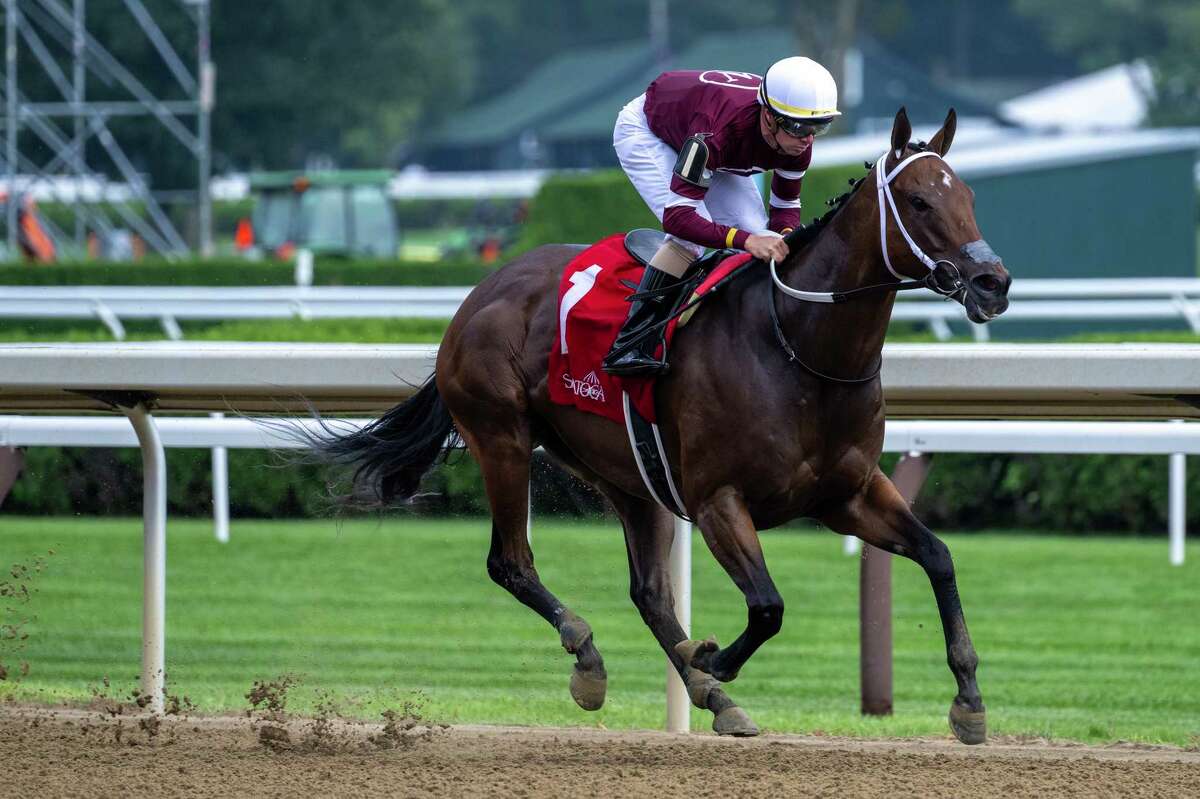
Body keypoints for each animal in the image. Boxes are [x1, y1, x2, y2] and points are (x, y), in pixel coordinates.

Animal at [314, 109, 1008, 739]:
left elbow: (939, 556)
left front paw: (969, 701)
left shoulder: (849, 494)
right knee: (510, 562)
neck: (799, 349)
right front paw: (712, 658)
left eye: (970, 197)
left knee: (648, 592)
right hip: (500, 437)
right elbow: (768, 607)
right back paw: (593, 656)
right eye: (919, 200)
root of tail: (479, 294)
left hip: (626, 474)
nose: (992, 282)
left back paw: (708, 695)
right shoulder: (717, 500)